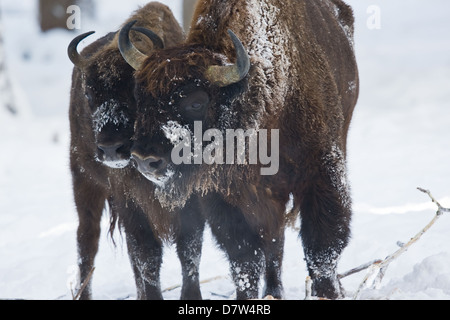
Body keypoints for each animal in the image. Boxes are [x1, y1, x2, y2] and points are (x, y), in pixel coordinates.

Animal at [68, 1, 204, 300]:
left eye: (133, 90)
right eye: (89, 94)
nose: (110, 149)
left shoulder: (191, 200)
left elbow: (189, 249)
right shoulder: (132, 205)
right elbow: (147, 257)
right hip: (84, 181)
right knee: (87, 241)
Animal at [118, 0, 358, 300]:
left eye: (196, 102)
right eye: (140, 97)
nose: (145, 159)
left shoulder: (322, 174)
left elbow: (322, 248)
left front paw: (330, 292)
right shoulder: (226, 199)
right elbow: (245, 260)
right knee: (273, 243)